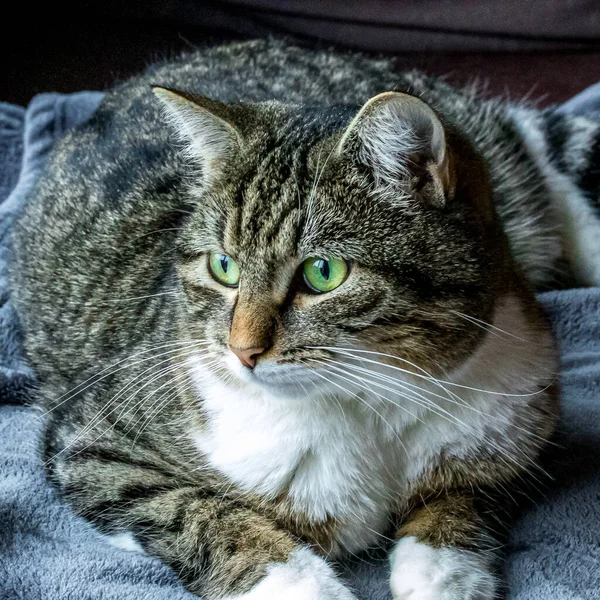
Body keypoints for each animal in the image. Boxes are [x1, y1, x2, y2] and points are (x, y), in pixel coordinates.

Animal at [9, 38, 600, 600]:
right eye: (223, 266)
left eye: (323, 272)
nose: (241, 349)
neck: (372, 400)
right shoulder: (93, 443)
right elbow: (203, 515)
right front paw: (302, 585)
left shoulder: (519, 421)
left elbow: (464, 494)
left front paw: (442, 575)